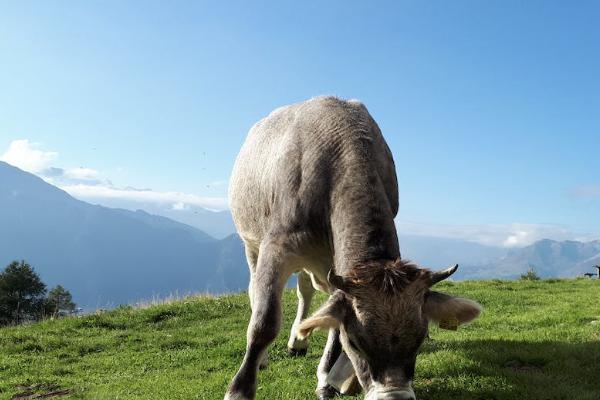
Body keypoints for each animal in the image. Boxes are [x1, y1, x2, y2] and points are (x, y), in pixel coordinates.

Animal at [225, 97, 482, 400]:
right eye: (357, 342)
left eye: (420, 339)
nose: (395, 397)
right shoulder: (277, 246)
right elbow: (264, 321)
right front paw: (238, 391)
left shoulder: (339, 267)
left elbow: (332, 320)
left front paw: (326, 378)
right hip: (251, 243)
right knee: (255, 291)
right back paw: (264, 358)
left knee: (305, 291)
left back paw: (298, 342)